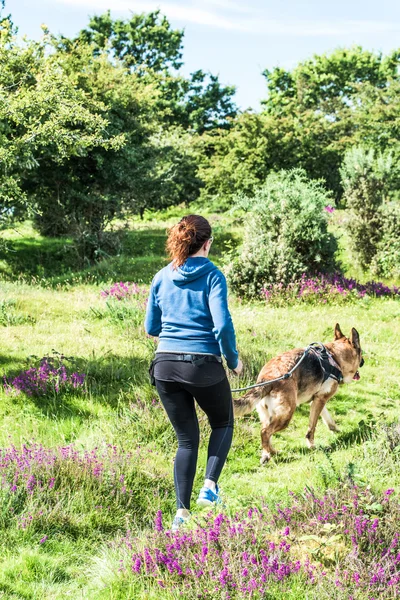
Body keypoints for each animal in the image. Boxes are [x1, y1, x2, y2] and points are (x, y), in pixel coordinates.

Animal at [233, 324, 364, 464]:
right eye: (361, 353)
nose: (363, 362)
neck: (335, 357)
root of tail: (267, 378)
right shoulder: (320, 400)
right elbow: (312, 427)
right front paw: (312, 446)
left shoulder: (317, 400)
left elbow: (326, 417)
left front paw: (334, 428)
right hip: (286, 415)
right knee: (265, 432)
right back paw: (270, 454)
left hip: (269, 415)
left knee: (267, 434)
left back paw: (269, 452)